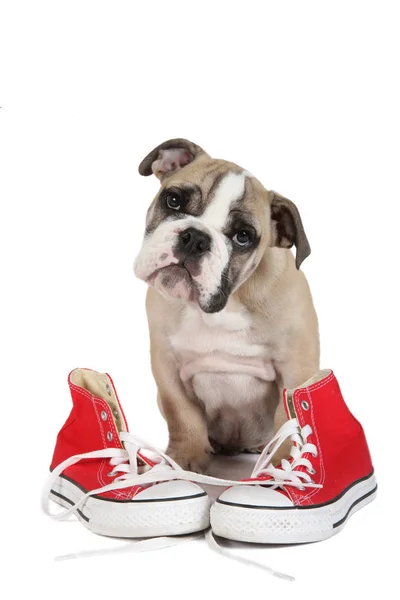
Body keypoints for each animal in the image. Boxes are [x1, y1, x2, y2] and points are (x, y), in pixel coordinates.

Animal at [134, 138, 318, 472]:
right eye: (174, 200)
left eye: (243, 236)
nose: (195, 238)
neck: (223, 305)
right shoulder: (166, 365)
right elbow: (182, 413)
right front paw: (184, 459)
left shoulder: (296, 367)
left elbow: (288, 420)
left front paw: (282, 467)